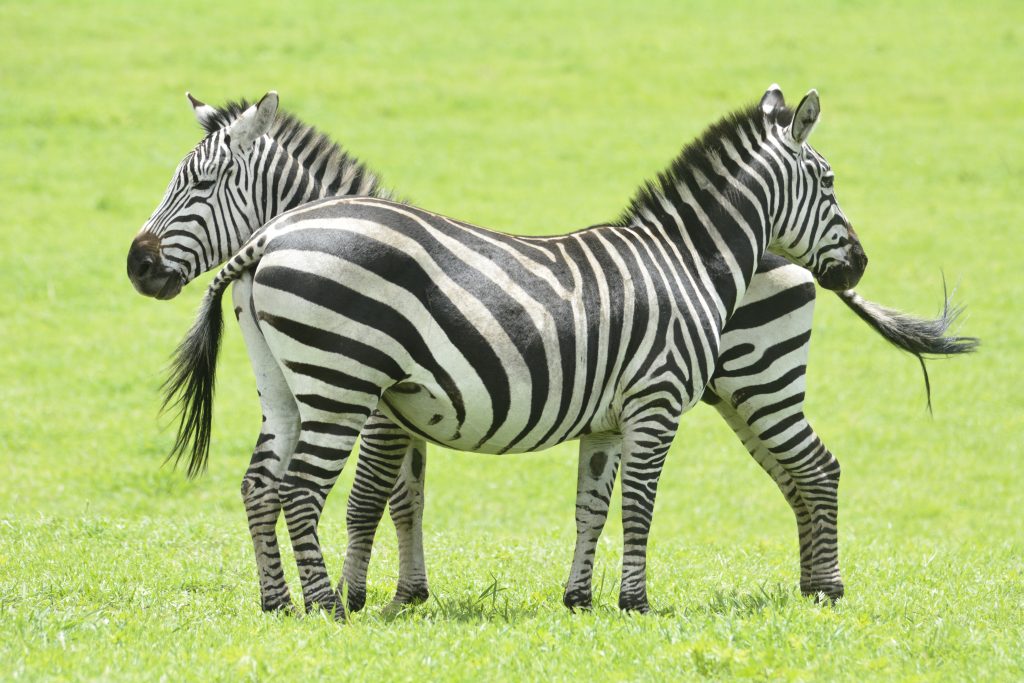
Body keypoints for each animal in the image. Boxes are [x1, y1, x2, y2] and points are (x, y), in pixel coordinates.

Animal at [153, 85, 872, 614]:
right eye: (831, 181)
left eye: (199, 184)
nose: (860, 264)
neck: (687, 260)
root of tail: (267, 239)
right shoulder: (654, 401)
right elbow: (634, 505)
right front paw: (633, 603)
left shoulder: (602, 418)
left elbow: (587, 506)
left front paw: (575, 600)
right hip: (337, 385)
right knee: (295, 489)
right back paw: (323, 606)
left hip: (291, 388)